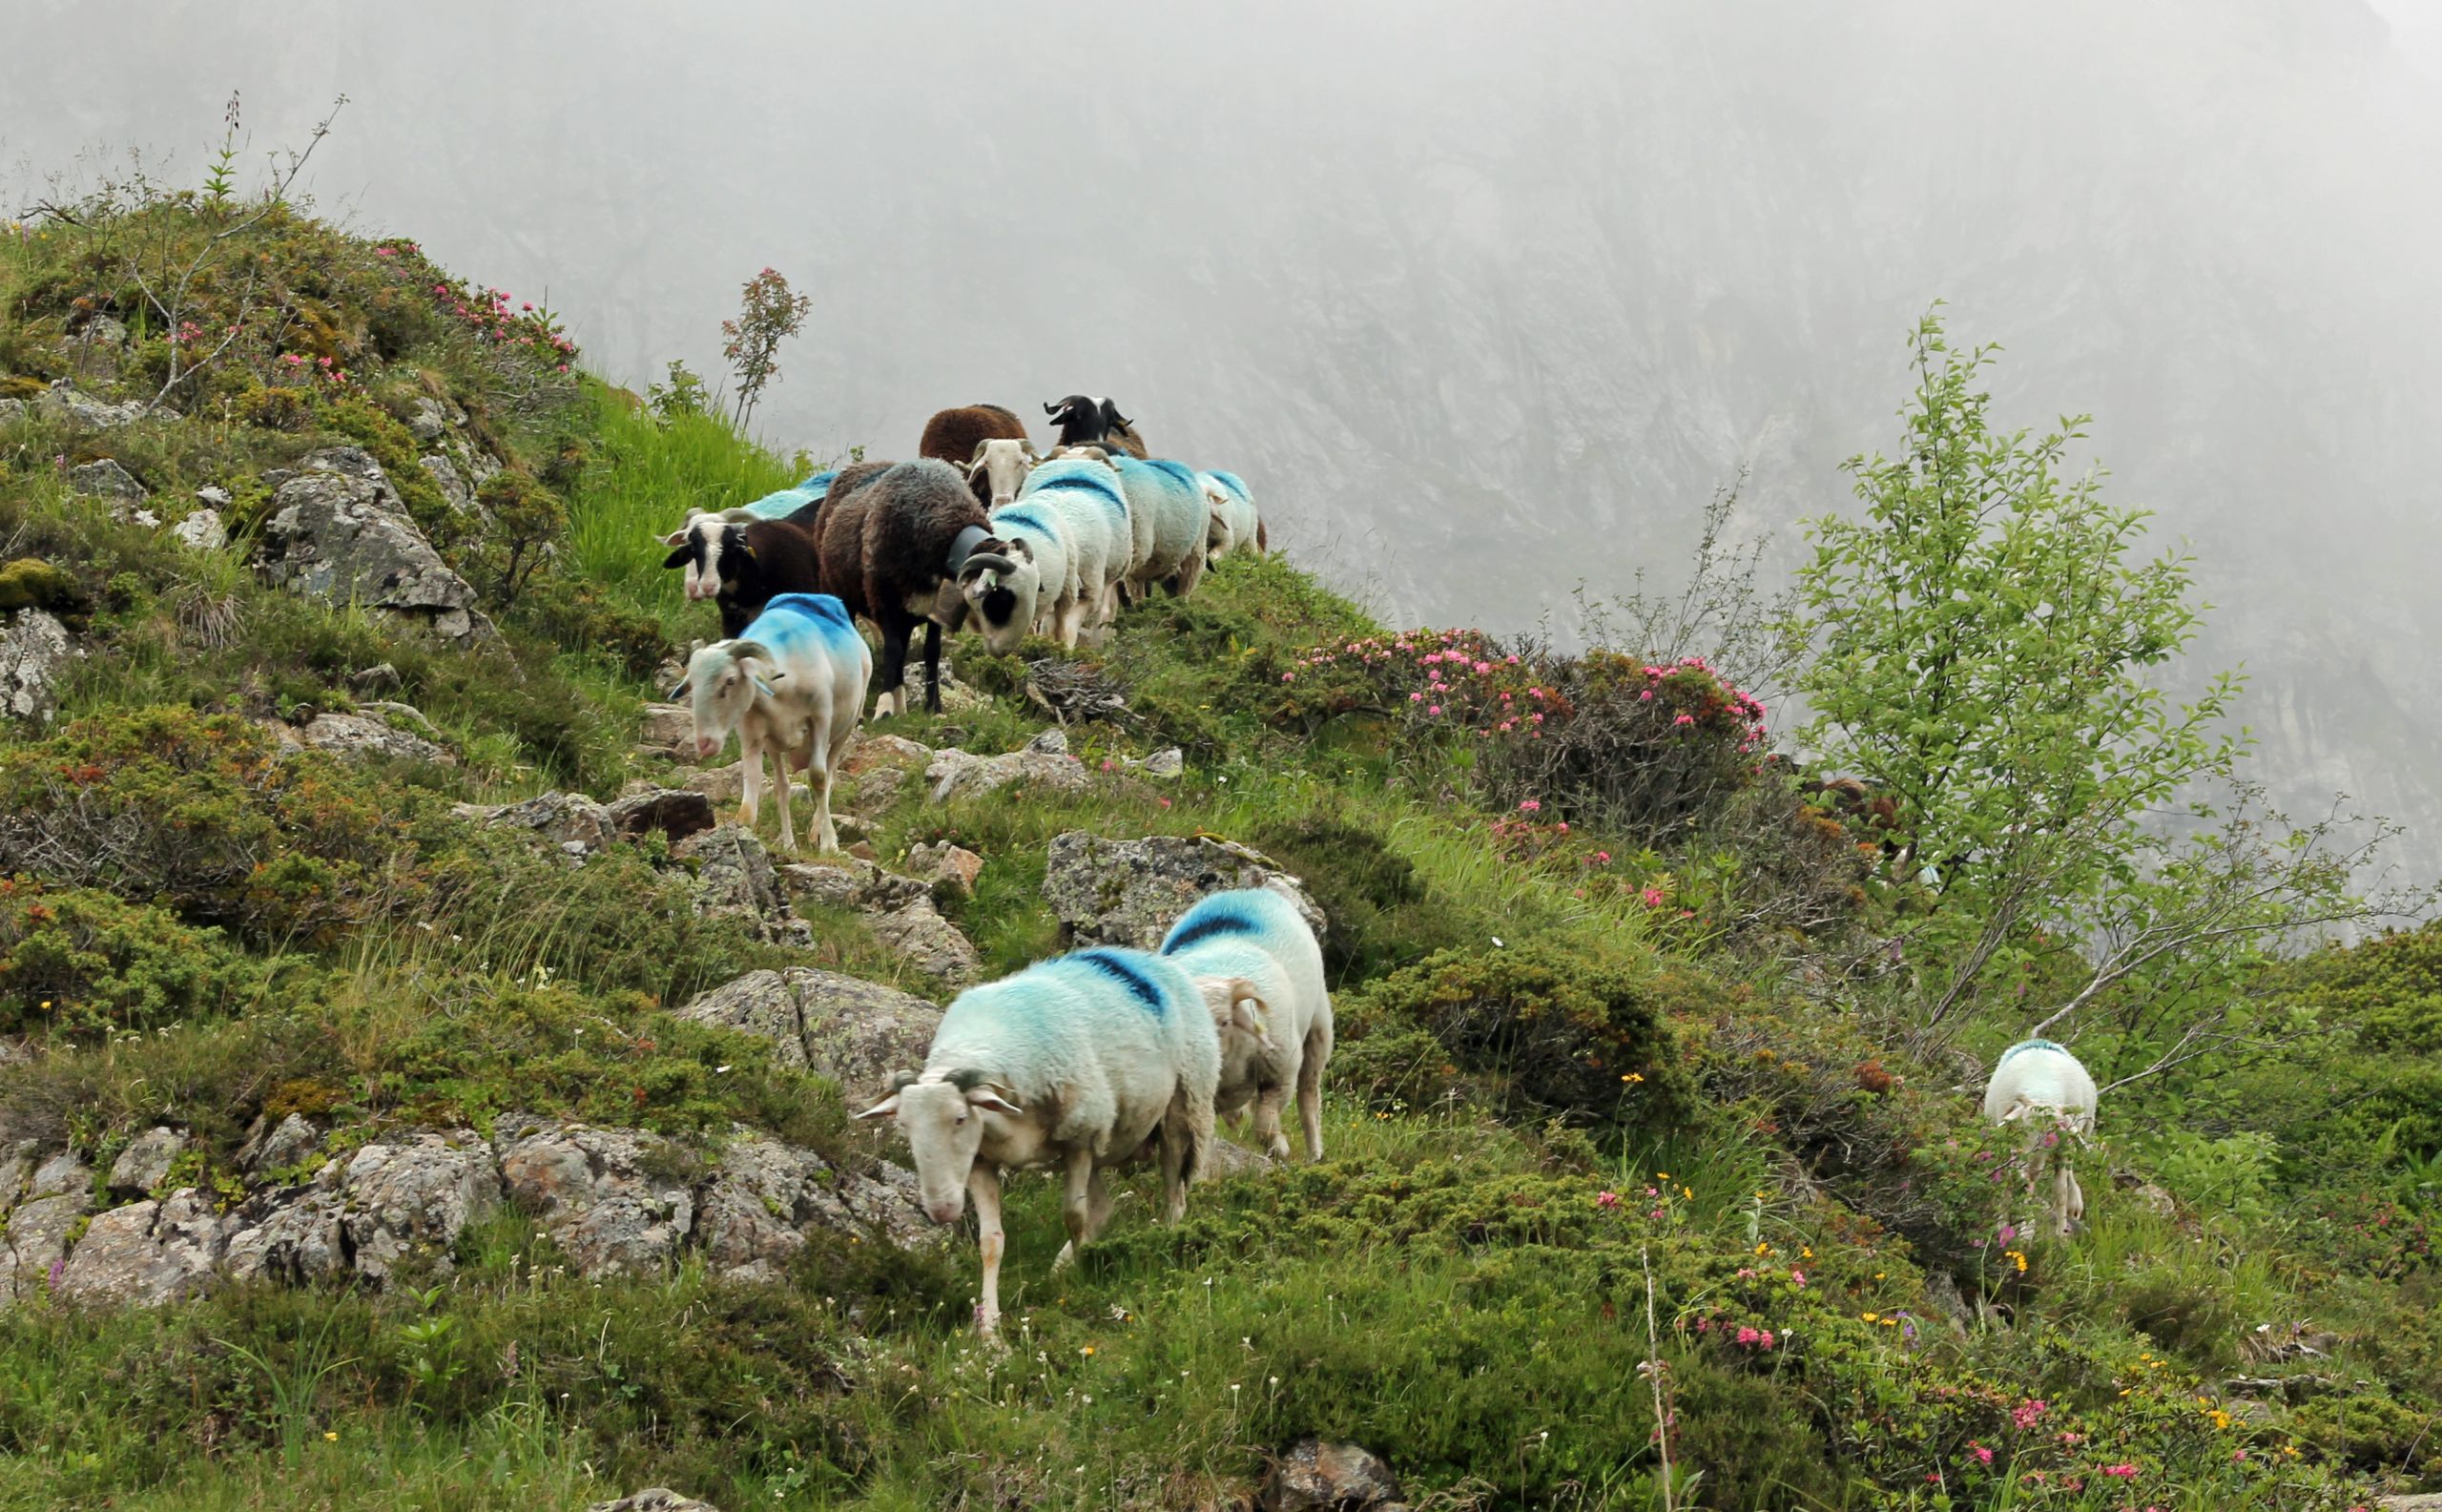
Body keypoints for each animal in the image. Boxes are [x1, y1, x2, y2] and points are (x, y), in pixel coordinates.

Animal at [664, 590, 874, 850]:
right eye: (693, 683)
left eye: (730, 681)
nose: (704, 743)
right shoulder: (751, 736)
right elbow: (751, 802)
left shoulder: (820, 720)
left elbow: (818, 778)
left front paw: (829, 844)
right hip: (773, 744)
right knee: (782, 787)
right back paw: (790, 843)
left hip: (844, 729)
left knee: (830, 775)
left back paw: (818, 830)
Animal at [859, 947, 1221, 1338]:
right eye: (905, 1124)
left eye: (959, 1118)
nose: (941, 1211)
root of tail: (1144, 959)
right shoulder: (981, 1161)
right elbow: (991, 1242)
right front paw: (990, 1329)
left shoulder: (1081, 1139)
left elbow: (1074, 1217)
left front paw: (1080, 1279)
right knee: (1104, 1206)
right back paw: (1059, 1267)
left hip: (1182, 1110)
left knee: (1173, 1197)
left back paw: (1163, 1245)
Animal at [1162, 889, 1337, 1157]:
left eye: (1225, 1022)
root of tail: (1250, 892)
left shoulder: (1281, 1074)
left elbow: (1265, 1124)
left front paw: (1280, 1148)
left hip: (1319, 1027)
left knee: (1309, 1095)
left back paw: (1315, 1153)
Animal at [1982, 1040, 2100, 1240]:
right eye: (2021, 1130)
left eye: (2051, 1134)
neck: (2042, 1093)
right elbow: (2011, 1181)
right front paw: (2005, 1225)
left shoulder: (2064, 1146)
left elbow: (2060, 1191)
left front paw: (2060, 1234)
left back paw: (2074, 1206)